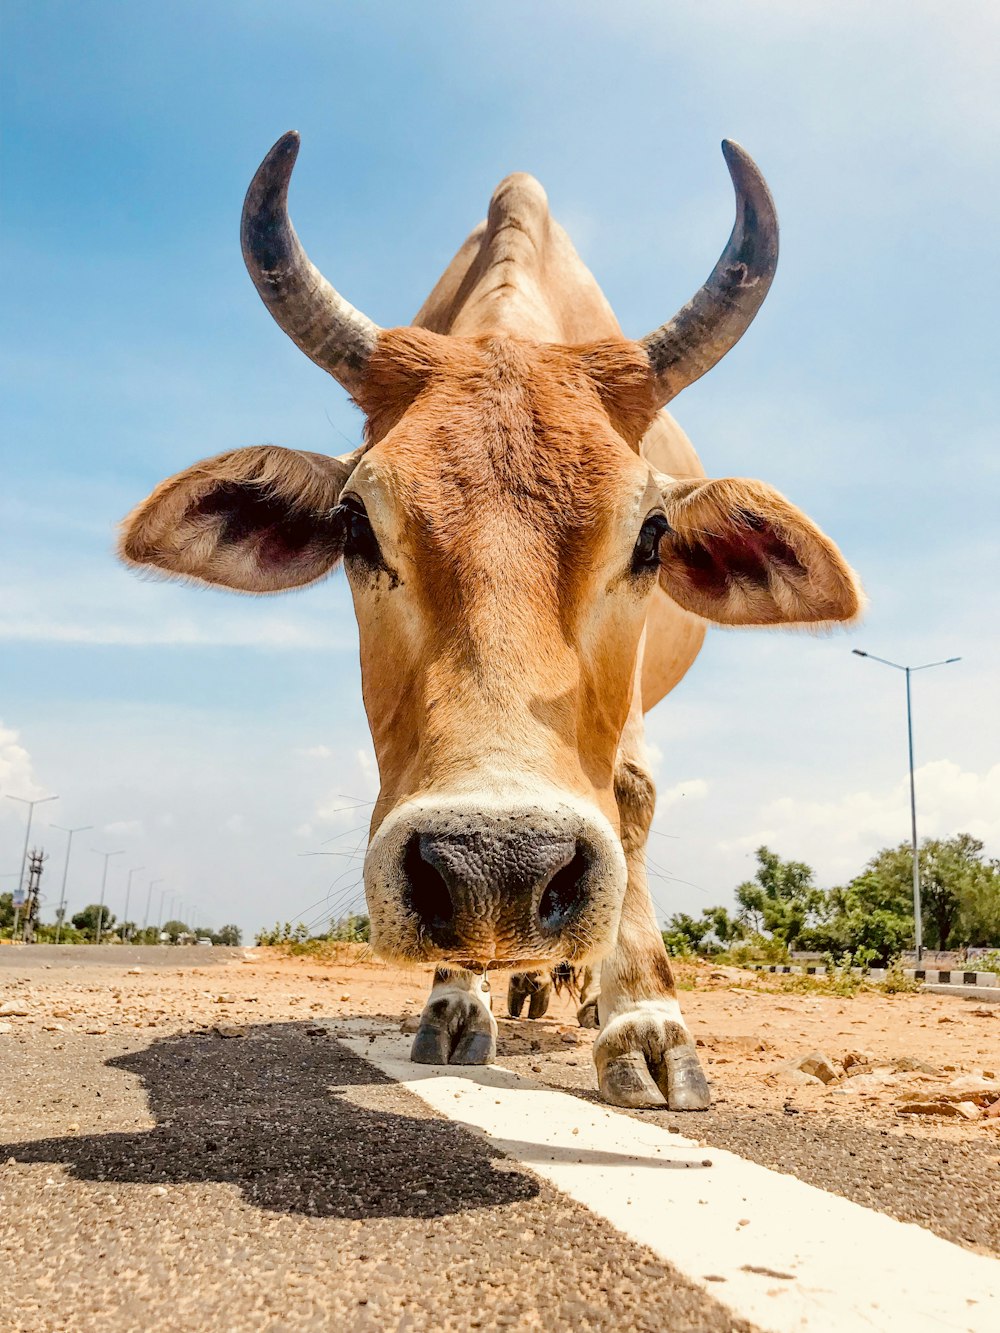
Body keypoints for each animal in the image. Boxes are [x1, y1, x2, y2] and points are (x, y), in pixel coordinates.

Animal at [121, 137, 864, 1114]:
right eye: (355, 523)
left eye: (651, 534)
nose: (500, 865)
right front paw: (456, 997)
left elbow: (630, 797)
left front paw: (645, 1022)